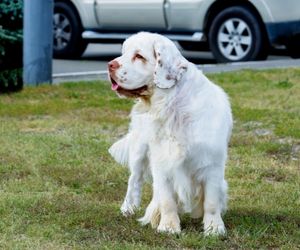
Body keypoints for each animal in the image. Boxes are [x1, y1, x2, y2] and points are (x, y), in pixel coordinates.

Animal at [108, 32, 232, 235]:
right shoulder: (162, 161)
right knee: (134, 180)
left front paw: (214, 228)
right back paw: (128, 208)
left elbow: (212, 202)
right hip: (139, 150)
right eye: (123, 52)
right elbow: (167, 200)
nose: (110, 64)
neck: (172, 106)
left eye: (139, 56)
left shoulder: (212, 164)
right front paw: (168, 226)